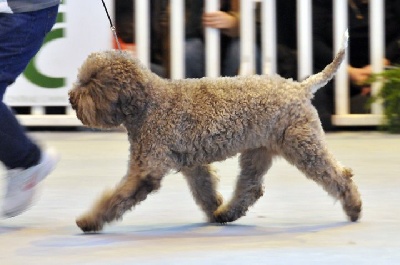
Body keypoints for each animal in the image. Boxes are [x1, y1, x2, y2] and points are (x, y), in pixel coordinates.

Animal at [69, 33, 362, 231]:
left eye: (92, 83)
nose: (71, 99)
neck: (148, 103)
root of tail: (299, 87)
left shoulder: (147, 170)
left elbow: (116, 198)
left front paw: (90, 220)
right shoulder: (192, 164)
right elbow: (205, 190)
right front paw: (213, 210)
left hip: (303, 146)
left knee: (338, 176)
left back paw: (354, 207)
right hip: (258, 151)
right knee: (250, 188)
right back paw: (226, 213)